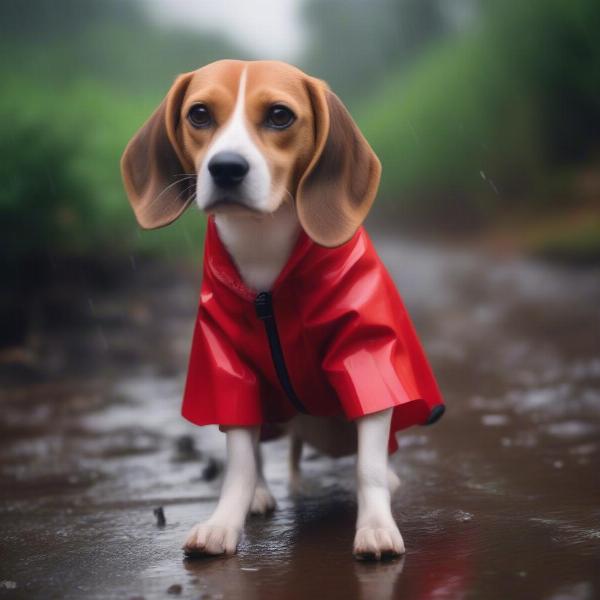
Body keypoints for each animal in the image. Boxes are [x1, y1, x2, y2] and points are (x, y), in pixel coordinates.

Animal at [120, 58, 446, 560]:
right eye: (199, 114)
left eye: (279, 115)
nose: (226, 168)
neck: (264, 245)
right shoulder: (225, 366)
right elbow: (238, 457)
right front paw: (225, 521)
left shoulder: (366, 353)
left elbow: (369, 459)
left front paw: (376, 525)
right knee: (257, 450)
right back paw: (259, 493)